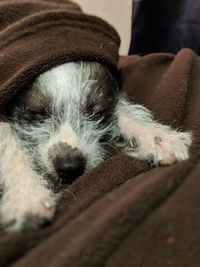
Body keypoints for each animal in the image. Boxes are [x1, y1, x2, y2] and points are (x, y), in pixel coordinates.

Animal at [0, 60, 192, 232]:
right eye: (36, 112)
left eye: (97, 111)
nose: (70, 167)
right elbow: (8, 141)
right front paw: (27, 195)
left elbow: (124, 110)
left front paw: (158, 137)